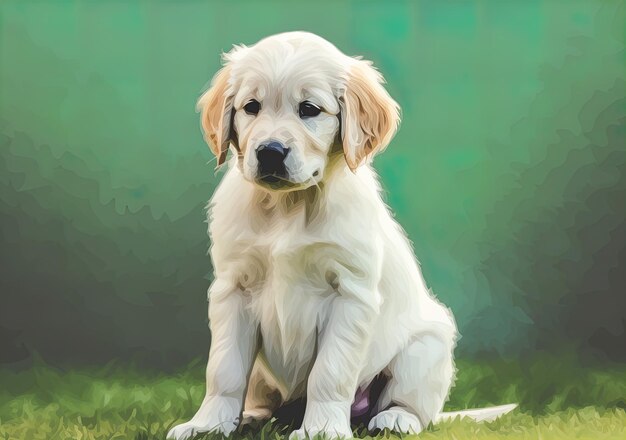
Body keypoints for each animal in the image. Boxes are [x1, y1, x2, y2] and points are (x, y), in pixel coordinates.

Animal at [167, 31, 512, 440]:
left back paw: (395, 419)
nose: (270, 152)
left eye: (309, 109)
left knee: (410, 406)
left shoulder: (349, 293)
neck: (288, 207)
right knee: (267, 405)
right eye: (251, 107)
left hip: (428, 345)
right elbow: (224, 369)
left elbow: (329, 373)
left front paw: (321, 429)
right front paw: (207, 425)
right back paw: (250, 418)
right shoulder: (233, 288)